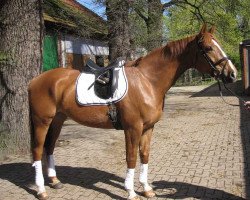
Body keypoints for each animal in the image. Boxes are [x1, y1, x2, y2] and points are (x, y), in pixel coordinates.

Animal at [28, 25, 236, 200]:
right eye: (208, 48)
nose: (232, 74)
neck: (147, 81)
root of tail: (35, 80)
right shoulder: (132, 128)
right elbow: (131, 158)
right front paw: (131, 192)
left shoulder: (148, 128)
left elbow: (144, 155)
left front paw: (147, 189)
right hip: (42, 121)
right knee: (37, 150)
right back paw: (41, 190)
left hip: (58, 120)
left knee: (49, 148)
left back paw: (55, 181)